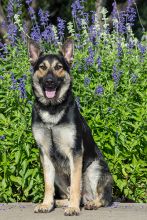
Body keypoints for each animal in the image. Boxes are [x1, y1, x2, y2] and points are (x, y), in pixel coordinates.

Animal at [28, 38, 112, 216]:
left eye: (58, 67)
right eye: (42, 67)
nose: (49, 82)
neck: (52, 109)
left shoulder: (75, 152)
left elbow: (75, 184)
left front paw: (73, 208)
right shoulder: (45, 154)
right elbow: (48, 185)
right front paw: (46, 204)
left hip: (94, 169)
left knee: (102, 198)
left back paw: (90, 203)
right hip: (58, 173)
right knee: (67, 192)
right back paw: (59, 202)